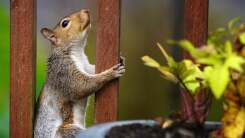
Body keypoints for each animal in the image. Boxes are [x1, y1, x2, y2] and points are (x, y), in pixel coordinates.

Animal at [34, 9, 125, 137]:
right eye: (65, 23)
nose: (86, 10)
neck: (77, 52)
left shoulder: (86, 66)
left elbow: (92, 71)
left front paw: (121, 60)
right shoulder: (62, 70)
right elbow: (80, 86)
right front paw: (110, 73)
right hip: (66, 131)